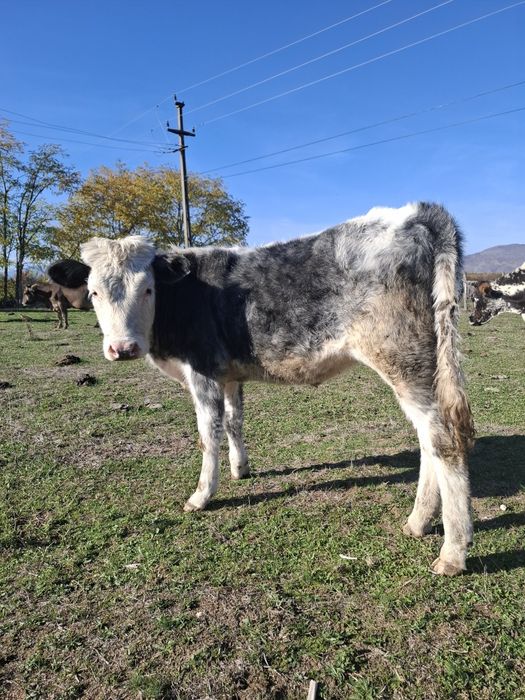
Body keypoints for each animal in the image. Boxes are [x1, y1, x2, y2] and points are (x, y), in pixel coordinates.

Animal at [51, 202, 475, 576]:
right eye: (93, 292)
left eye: (148, 290)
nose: (122, 348)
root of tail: (418, 212)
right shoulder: (230, 375)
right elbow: (234, 421)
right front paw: (240, 469)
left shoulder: (202, 370)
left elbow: (208, 434)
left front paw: (201, 495)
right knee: (427, 441)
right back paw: (418, 522)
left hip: (404, 359)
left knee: (444, 442)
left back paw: (452, 553)